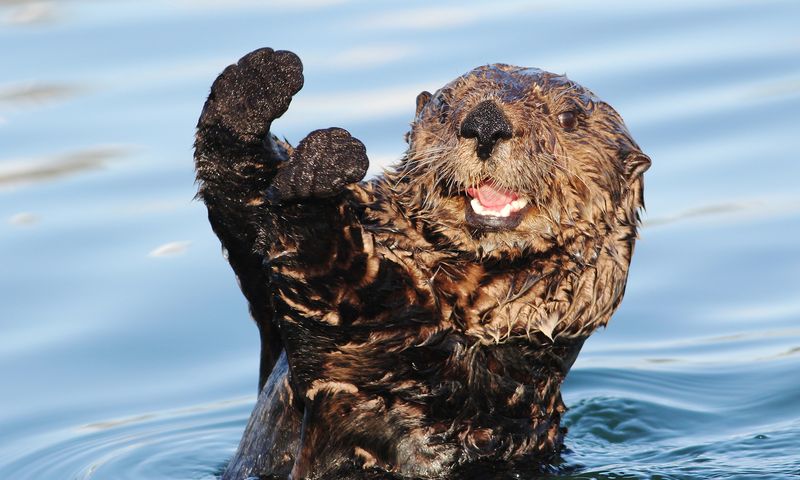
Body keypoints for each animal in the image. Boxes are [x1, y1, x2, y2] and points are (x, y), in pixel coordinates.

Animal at [195, 47, 648, 480]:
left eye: (568, 117)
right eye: (445, 107)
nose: (486, 123)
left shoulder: (408, 362)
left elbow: (339, 287)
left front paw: (317, 173)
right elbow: (245, 213)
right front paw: (255, 86)